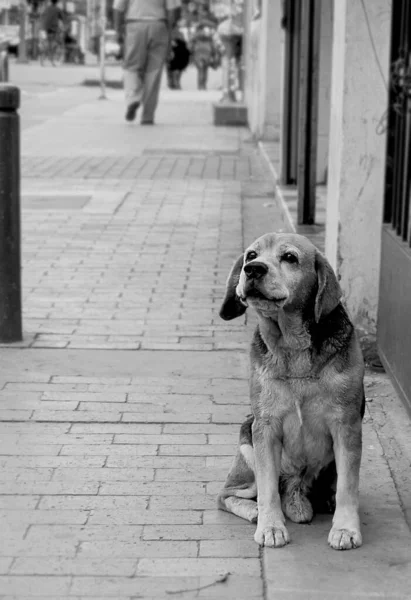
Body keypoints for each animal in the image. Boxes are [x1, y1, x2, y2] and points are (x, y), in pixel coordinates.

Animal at [217, 232, 366, 552]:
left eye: (289, 258)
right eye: (251, 255)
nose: (253, 270)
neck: (292, 347)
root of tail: (297, 486)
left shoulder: (347, 426)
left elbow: (348, 487)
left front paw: (345, 529)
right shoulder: (265, 426)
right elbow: (268, 489)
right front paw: (271, 526)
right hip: (247, 440)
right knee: (226, 494)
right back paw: (255, 511)